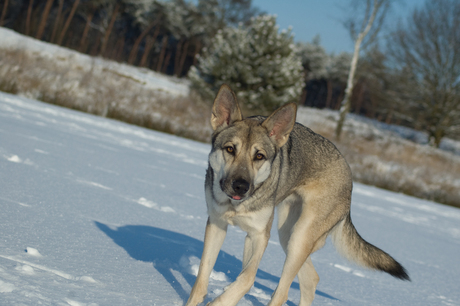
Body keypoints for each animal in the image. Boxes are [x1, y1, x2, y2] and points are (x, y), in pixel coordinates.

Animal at [187, 84, 410, 306]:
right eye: (230, 149)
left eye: (259, 156)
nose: (241, 186)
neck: (235, 206)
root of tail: (348, 171)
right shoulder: (217, 224)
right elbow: (202, 277)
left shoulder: (258, 235)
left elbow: (247, 278)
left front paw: (221, 301)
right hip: (287, 234)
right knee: (311, 279)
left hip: (300, 238)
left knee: (282, 292)